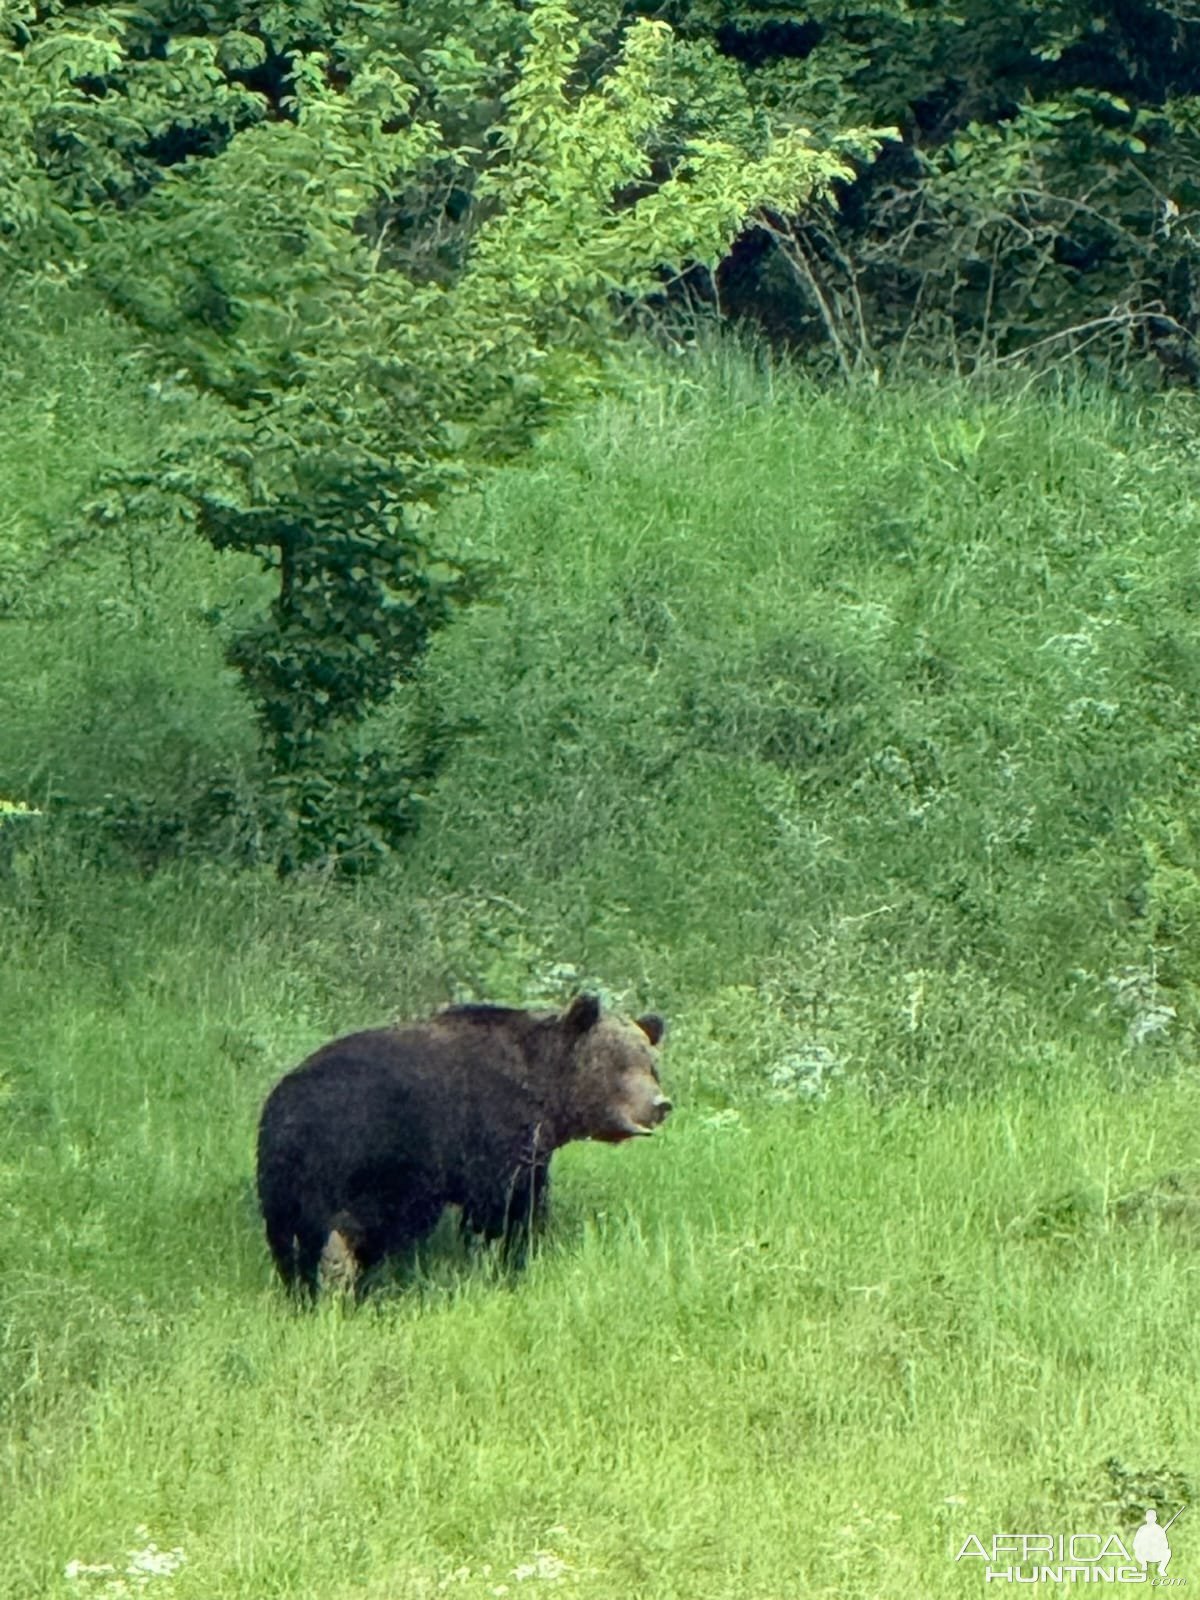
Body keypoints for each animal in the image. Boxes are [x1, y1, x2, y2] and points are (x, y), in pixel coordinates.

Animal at [256, 992, 668, 1292]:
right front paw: (510, 1256)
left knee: (288, 1241)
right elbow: (509, 1206)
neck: (545, 1091)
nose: (660, 1104)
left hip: (279, 1175)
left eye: (652, 1065)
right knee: (367, 1227)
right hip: (374, 1156)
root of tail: (290, 1115)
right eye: (620, 1063)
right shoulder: (495, 1133)